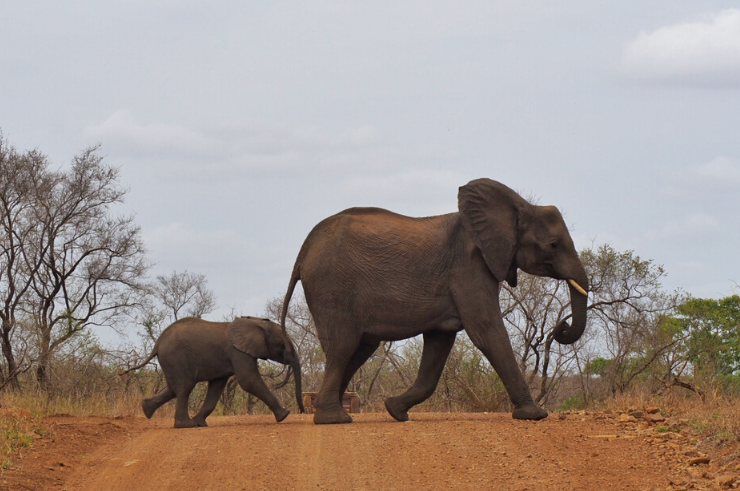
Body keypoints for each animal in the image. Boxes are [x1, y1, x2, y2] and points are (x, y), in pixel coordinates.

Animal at [124, 318, 304, 428]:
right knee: (184, 387)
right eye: (283, 344)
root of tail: (158, 343)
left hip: (170, 360)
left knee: (173, 388)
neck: (255, 321)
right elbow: (248, 381)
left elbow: (216, 387)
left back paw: (146, 409)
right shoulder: (237, 352)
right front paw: (284, 415)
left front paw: (200, 423)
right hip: (176, 357)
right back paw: (185, 425)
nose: (302, 411)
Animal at [284, 179, 588, 424]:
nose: (561, 327)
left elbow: (439, 345)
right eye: (553, 245)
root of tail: (303, 251)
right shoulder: (469, 268)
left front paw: (395, 410)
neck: (518, 207)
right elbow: (487, 330)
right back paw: (333, 419)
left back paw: (332, 412)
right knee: (343, 347)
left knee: (359, 349)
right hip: (331, 287)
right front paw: (535, 415)